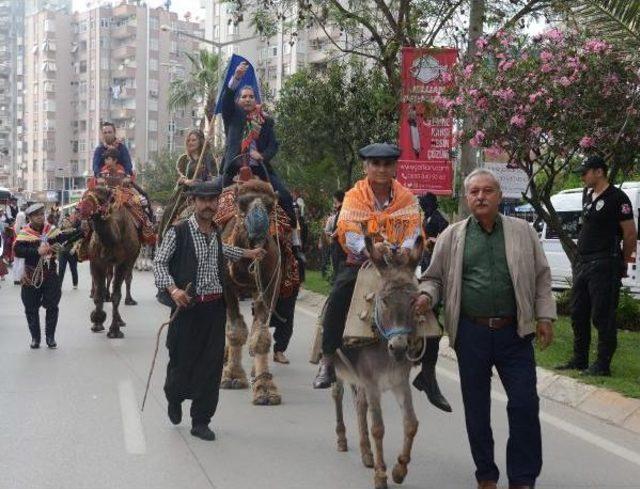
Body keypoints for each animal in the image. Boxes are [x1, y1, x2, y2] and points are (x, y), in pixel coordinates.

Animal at [77, 185, 141, 338]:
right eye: (84, 195)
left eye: (102, 197)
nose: (80, 209)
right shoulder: (96, 261)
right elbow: (98, 293)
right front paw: (97, 320)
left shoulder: (122, 262)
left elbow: (116, 295)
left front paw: (114, 330)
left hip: (133, 257)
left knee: (125, 279)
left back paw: (122, 316)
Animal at [218, 178, 298, 404]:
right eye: (241, 203)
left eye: (270, 205)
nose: (258, 224)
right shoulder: (227, 288)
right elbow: (235, 330)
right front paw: (233, 377)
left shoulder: (270, 285)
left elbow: (261, 334)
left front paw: (265, 388)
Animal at [332, 235, 428, 488]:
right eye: (383, 300)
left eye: (414, 300)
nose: (399, 347)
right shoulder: (372, 384)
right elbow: (378, 428)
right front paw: (381, 474)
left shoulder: (399, 382)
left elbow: (411, 423)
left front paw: (400, 470)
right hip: (337, 369)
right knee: (338, 395)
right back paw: (342, 438)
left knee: (359, 405)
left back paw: (367, 453)